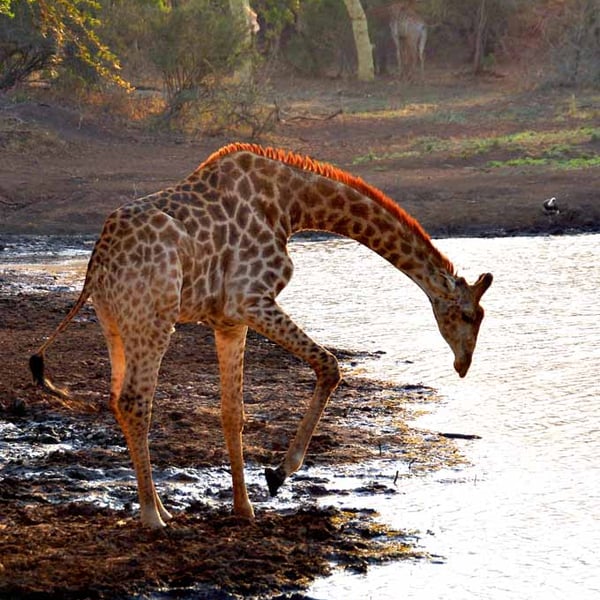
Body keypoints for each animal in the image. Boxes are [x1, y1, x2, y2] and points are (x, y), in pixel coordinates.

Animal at [29, 143, 492, 528]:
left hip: (116, 323)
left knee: (117, 399)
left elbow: (232, 412)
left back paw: (163, 508)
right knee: (134, 401)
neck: (291, 205)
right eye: (469, 314)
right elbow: (330, 365)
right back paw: (151, 517)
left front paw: (244, 508)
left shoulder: (229, 321)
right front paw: (277, 474)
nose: (463, 364)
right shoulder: (251, 300)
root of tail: (96, 264)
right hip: (154, 320)